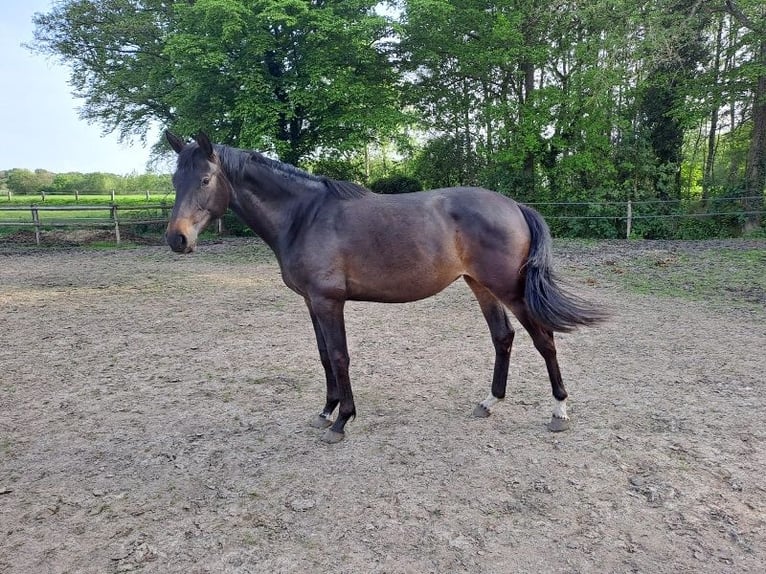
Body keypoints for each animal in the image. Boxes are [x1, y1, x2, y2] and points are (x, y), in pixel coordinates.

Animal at [165, 132, 608, 446]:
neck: (305, 216)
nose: (176, 238)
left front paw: (342, 420)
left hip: (510, 290)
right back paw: (489, 401)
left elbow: (339, 357)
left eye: (205, 179)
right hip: (481, 286)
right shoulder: (312, 302)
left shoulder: (329, 301)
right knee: (503, 338)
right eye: (173, 179)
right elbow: (323, 357)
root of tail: (515, 205)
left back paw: (559, 411)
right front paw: (326, 411)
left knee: (544, 339)